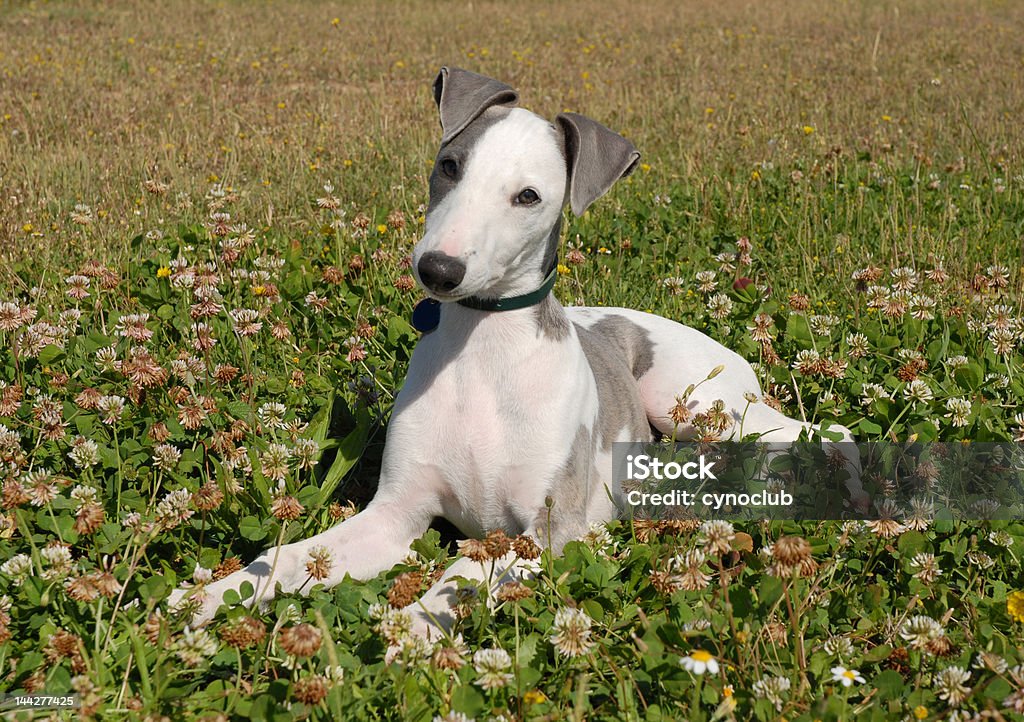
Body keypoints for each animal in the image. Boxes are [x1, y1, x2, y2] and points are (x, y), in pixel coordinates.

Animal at [176, 64, 856, 634]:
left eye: (528, 196)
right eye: (450, 164)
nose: (438, 269)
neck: (483, 350)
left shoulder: (550, 530)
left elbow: (463, 572)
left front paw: (415, 631)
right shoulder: (396, 516)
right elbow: (292, 556)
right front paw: (207, 597)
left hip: (696, 407)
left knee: (828, 432)